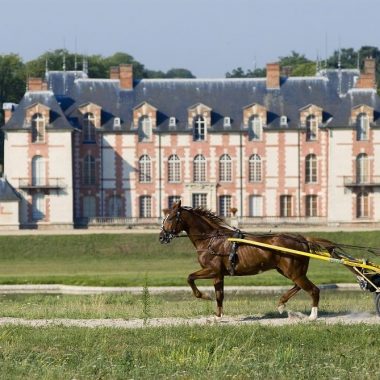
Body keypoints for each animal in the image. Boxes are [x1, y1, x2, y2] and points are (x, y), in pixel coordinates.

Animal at [160, 200, 336, 320]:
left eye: (170, 218)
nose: (161, 236)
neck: (212, 239)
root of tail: (301, 238)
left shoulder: (212, 270)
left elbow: (190, 278)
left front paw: (205, 296)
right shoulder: (219, 274)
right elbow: (219, 295)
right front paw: (217, 316)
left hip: (294, 271)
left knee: (313, 290)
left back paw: (312, 316)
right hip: (288, 271)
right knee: (299, 286)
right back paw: (281, 303)